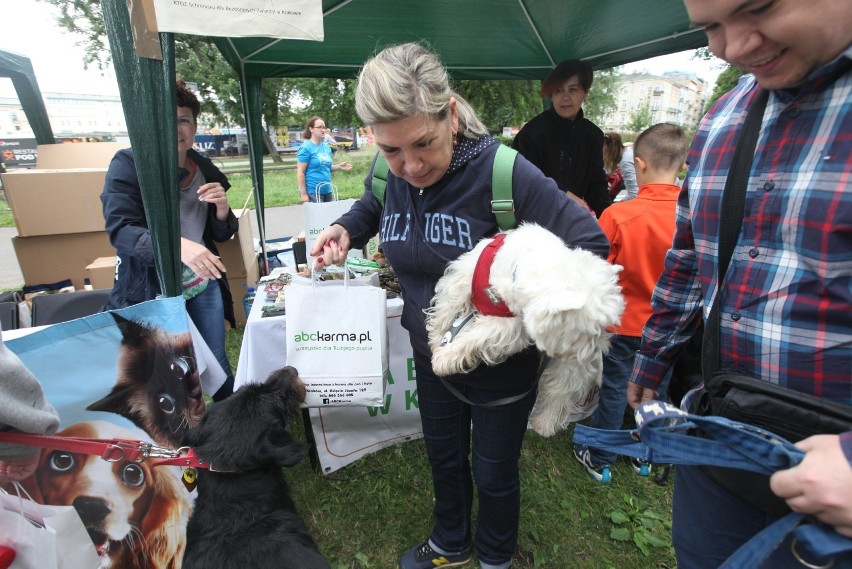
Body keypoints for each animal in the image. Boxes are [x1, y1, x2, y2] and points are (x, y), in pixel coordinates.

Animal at [430, 222, 624, 434]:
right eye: (589, 330)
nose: (599, 350)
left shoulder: (512, 326)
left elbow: (479, 335)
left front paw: (444, 358)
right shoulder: (464, 275)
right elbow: (449, 304)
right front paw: (436, 340)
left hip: (568, 365)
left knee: (561, 388)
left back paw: (544, 424)